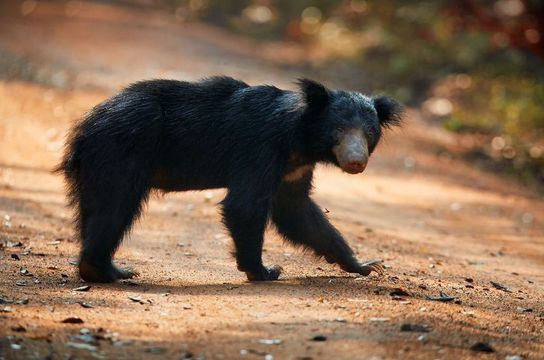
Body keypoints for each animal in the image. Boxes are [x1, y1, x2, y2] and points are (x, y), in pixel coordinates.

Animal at [57, 76, 402, 284]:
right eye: (339, 130)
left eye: (369, 133)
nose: (356, 162)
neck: (299, 142)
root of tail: (86, 124)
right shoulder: (260, 148)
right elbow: (245, 204)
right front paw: (264, 270)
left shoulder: (293, 170)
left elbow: (298, 212)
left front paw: (365, 265)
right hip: (124, 150)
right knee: (115, 207)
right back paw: (108, 270)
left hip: (95, 165)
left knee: (94, 207)